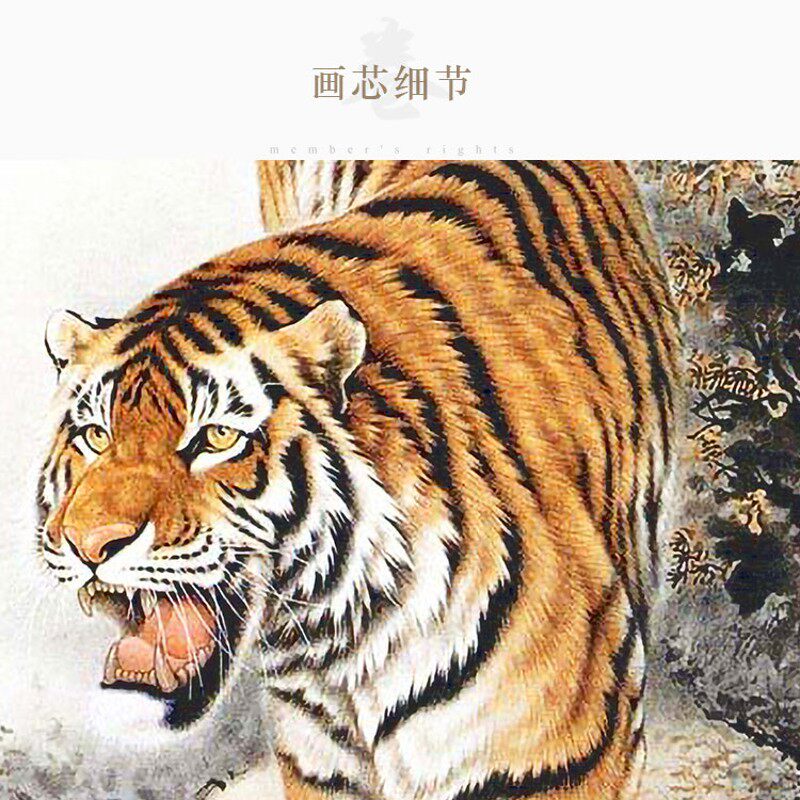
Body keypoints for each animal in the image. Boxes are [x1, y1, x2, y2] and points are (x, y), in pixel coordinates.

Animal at [37, 160, 682, 800]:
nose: (89, 544)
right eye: (95, 434)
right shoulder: (319, 768)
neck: (334, 647)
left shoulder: (560, 755)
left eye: (217, 438)